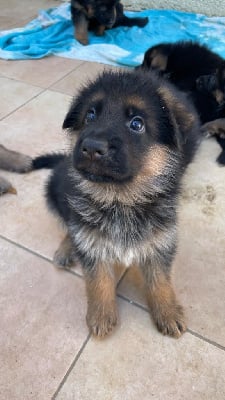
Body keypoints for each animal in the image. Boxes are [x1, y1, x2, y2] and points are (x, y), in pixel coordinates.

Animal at [37, 69, 201, 338]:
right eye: (90, 115)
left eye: (136, 123)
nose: (92, 147)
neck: (121, 200)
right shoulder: (93, 245)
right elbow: (98, 281)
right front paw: (101, 315)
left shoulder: (160, 241)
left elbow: (161, 280)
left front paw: (167, 311)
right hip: (54, 196)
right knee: (70, 227)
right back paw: (66, 249)